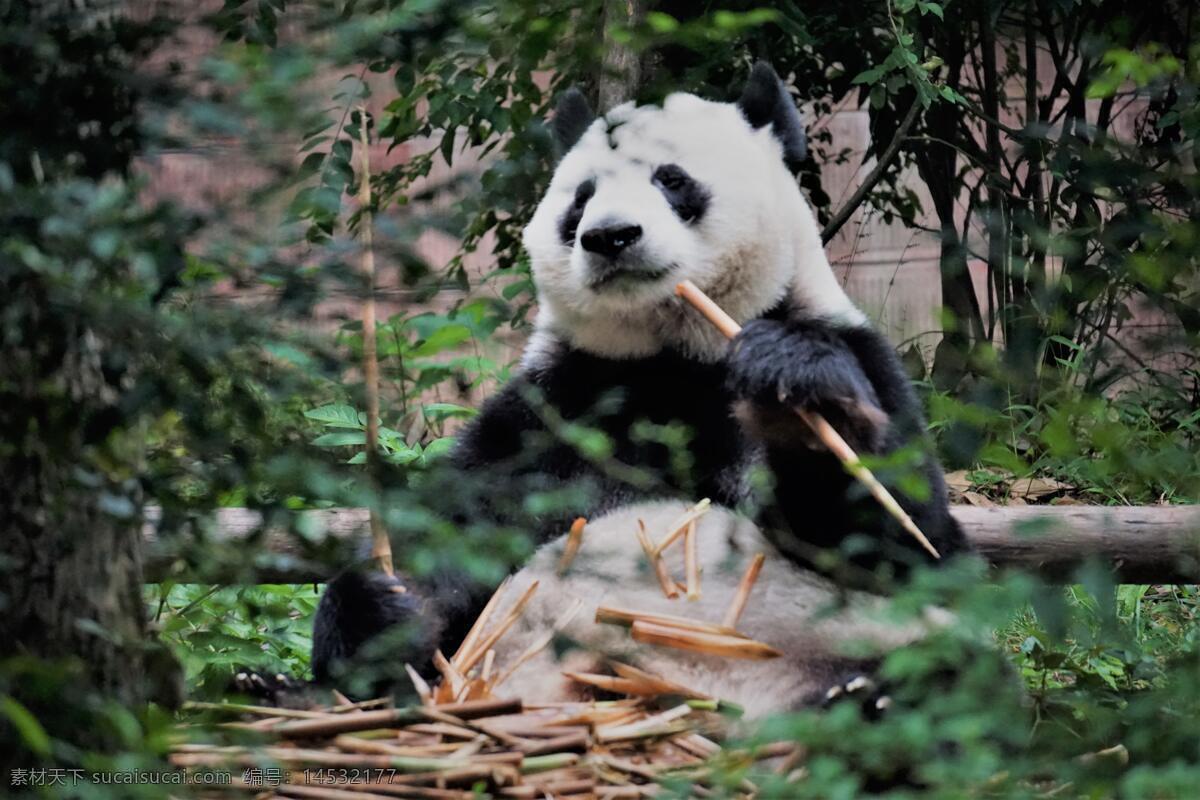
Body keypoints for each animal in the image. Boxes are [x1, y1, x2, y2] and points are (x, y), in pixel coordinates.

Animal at [314, 59, 969, 714]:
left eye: (671, 179)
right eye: (581, 198)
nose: (610, 236)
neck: (671, 359)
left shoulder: (862, 359)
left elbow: (914, 549)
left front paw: (798, 389)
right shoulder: (554, 408)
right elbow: (462, 527)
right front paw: (383, 609)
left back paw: (865, 699)